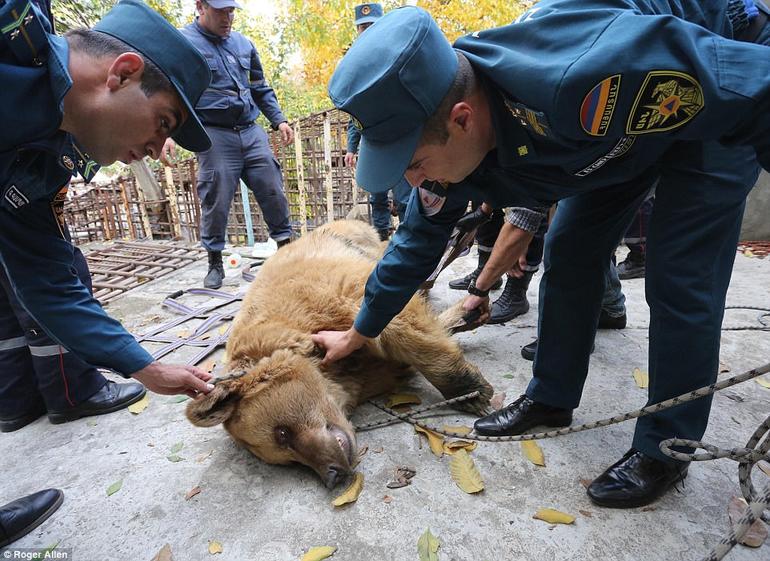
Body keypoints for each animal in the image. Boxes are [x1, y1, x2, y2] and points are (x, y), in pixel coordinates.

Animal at [186, 218, 492, 486]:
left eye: (281, 433)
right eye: (288, 460)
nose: (332, 475)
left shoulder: (334, 296)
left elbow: (399, 320)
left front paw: (472, 393)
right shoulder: (365, 370)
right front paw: (465, 316)